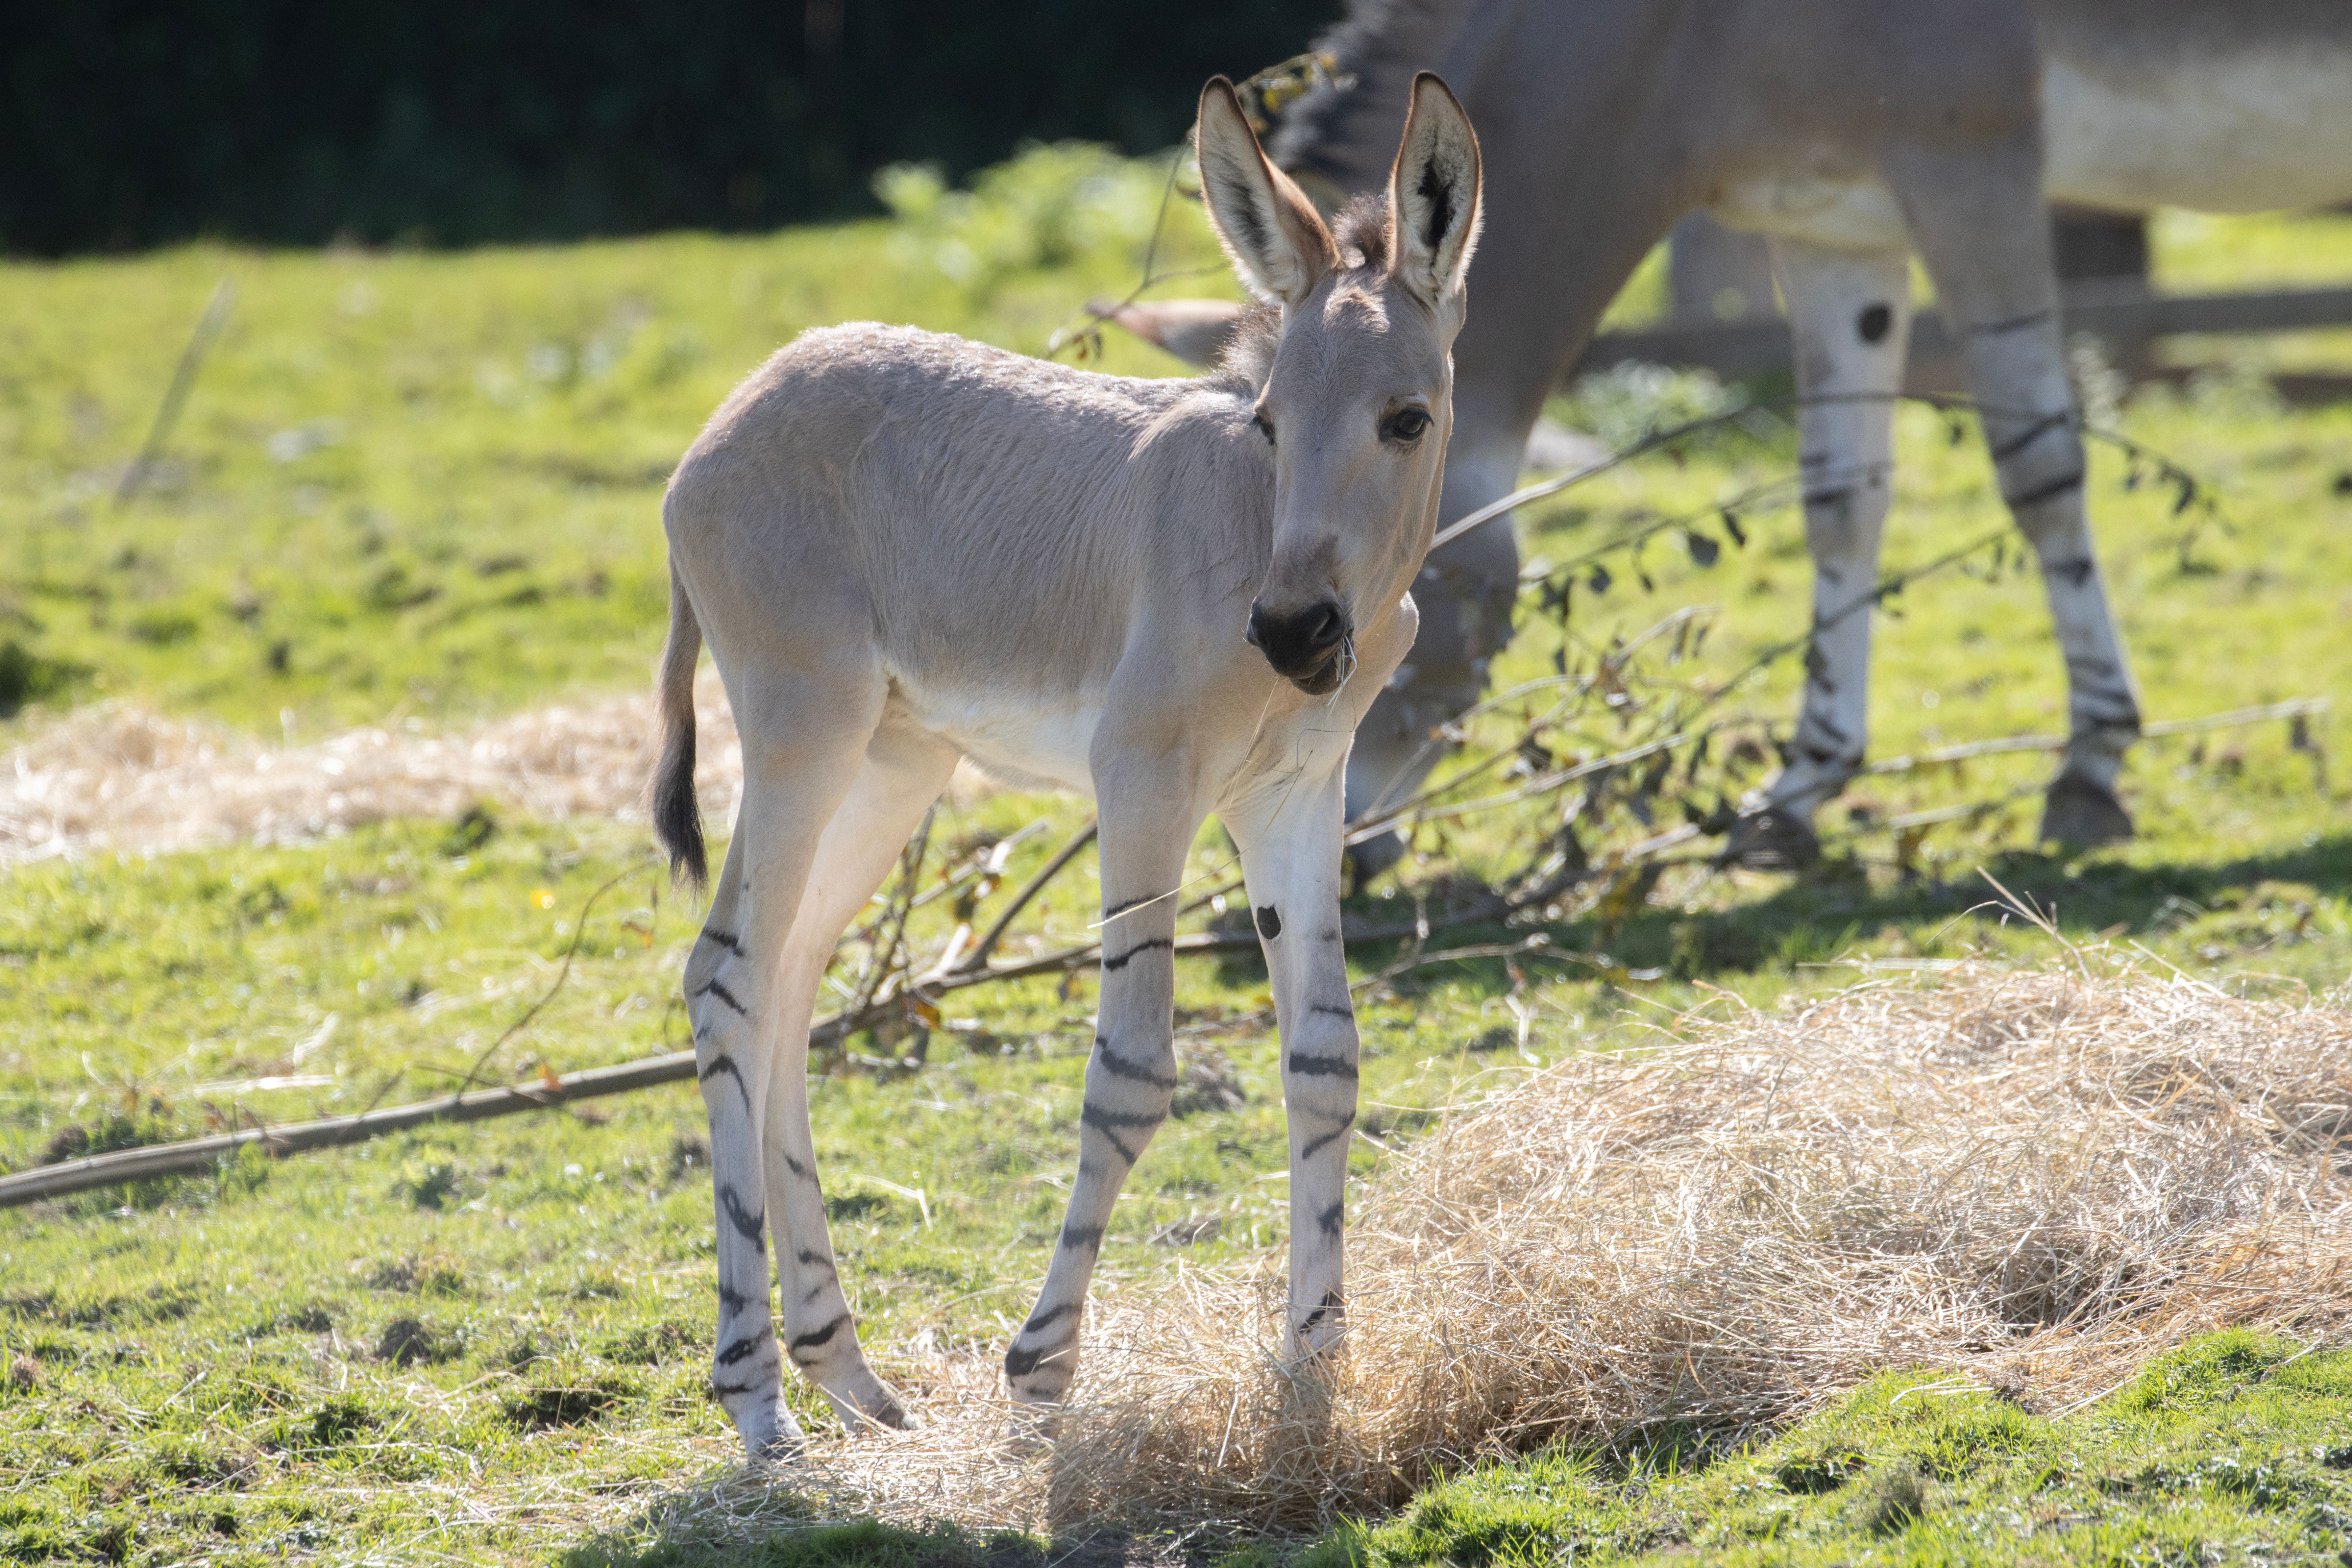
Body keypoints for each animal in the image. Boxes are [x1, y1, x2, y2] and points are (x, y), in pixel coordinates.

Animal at [654, 70, 1477, 1448]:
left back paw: (844, 1368)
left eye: (1403, 419)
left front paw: (1315, 1360)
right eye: (1266, 420)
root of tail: (732, 409)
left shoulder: (1295, 796)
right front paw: (1041, 1367)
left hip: (893, 761)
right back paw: (757, 1399)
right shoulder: (1141, 777)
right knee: (726, 975)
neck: (1257, 534)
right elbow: (1132, 1069)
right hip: (798, 729)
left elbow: (1324, 1056)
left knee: (786, 977)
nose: (1292, 632)